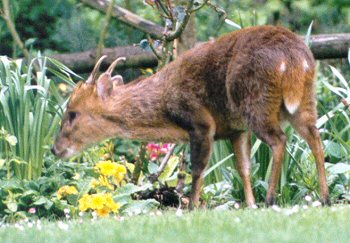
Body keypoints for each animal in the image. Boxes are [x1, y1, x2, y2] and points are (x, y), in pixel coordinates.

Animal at [50, 26, 330, 209]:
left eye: (72, 113)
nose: (55, 149)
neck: (165, 105)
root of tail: (294, 58)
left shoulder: (201, 122)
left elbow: (197, 169)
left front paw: (192, 207)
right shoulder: (236, 130)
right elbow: (244, 168)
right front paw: (250, 204)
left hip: (257, 104)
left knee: (280, 140)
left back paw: (272, 199)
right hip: (304, 101)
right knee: (316, 138)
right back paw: (324, 198)